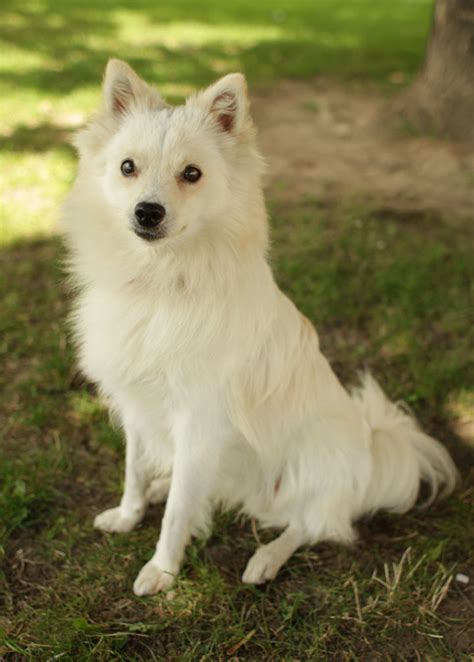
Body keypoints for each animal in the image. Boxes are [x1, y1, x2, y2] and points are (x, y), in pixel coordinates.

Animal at [63, 61, 460, 596]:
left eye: (192, 174)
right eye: (128, 167)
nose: (147, 212)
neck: (161, 281)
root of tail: (373, 450)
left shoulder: (198, 419)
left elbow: (176, 515)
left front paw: (162, 570)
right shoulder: (137, 406)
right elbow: (135, 471)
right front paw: (129, 515)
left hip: (309, 470)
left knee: (312, 524)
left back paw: (266, 558)